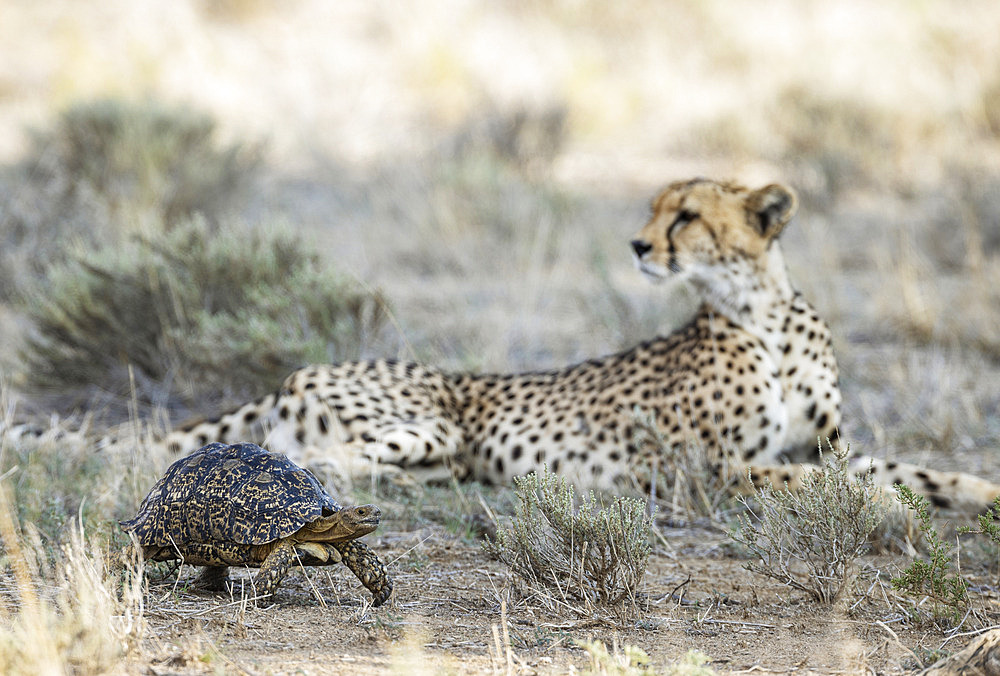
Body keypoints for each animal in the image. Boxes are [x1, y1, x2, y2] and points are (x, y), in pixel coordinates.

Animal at [139, 180, 1000, 508]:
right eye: (653, 208)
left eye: (686, 214)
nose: (639, 245)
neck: (764, 312)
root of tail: (299, 368)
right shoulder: (704, 468)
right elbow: (811, 481)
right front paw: (877, 502)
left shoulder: (827, 443)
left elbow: (911, 468)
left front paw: (978, 491)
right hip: (432, 423)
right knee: (317, 461)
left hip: (435, 441)